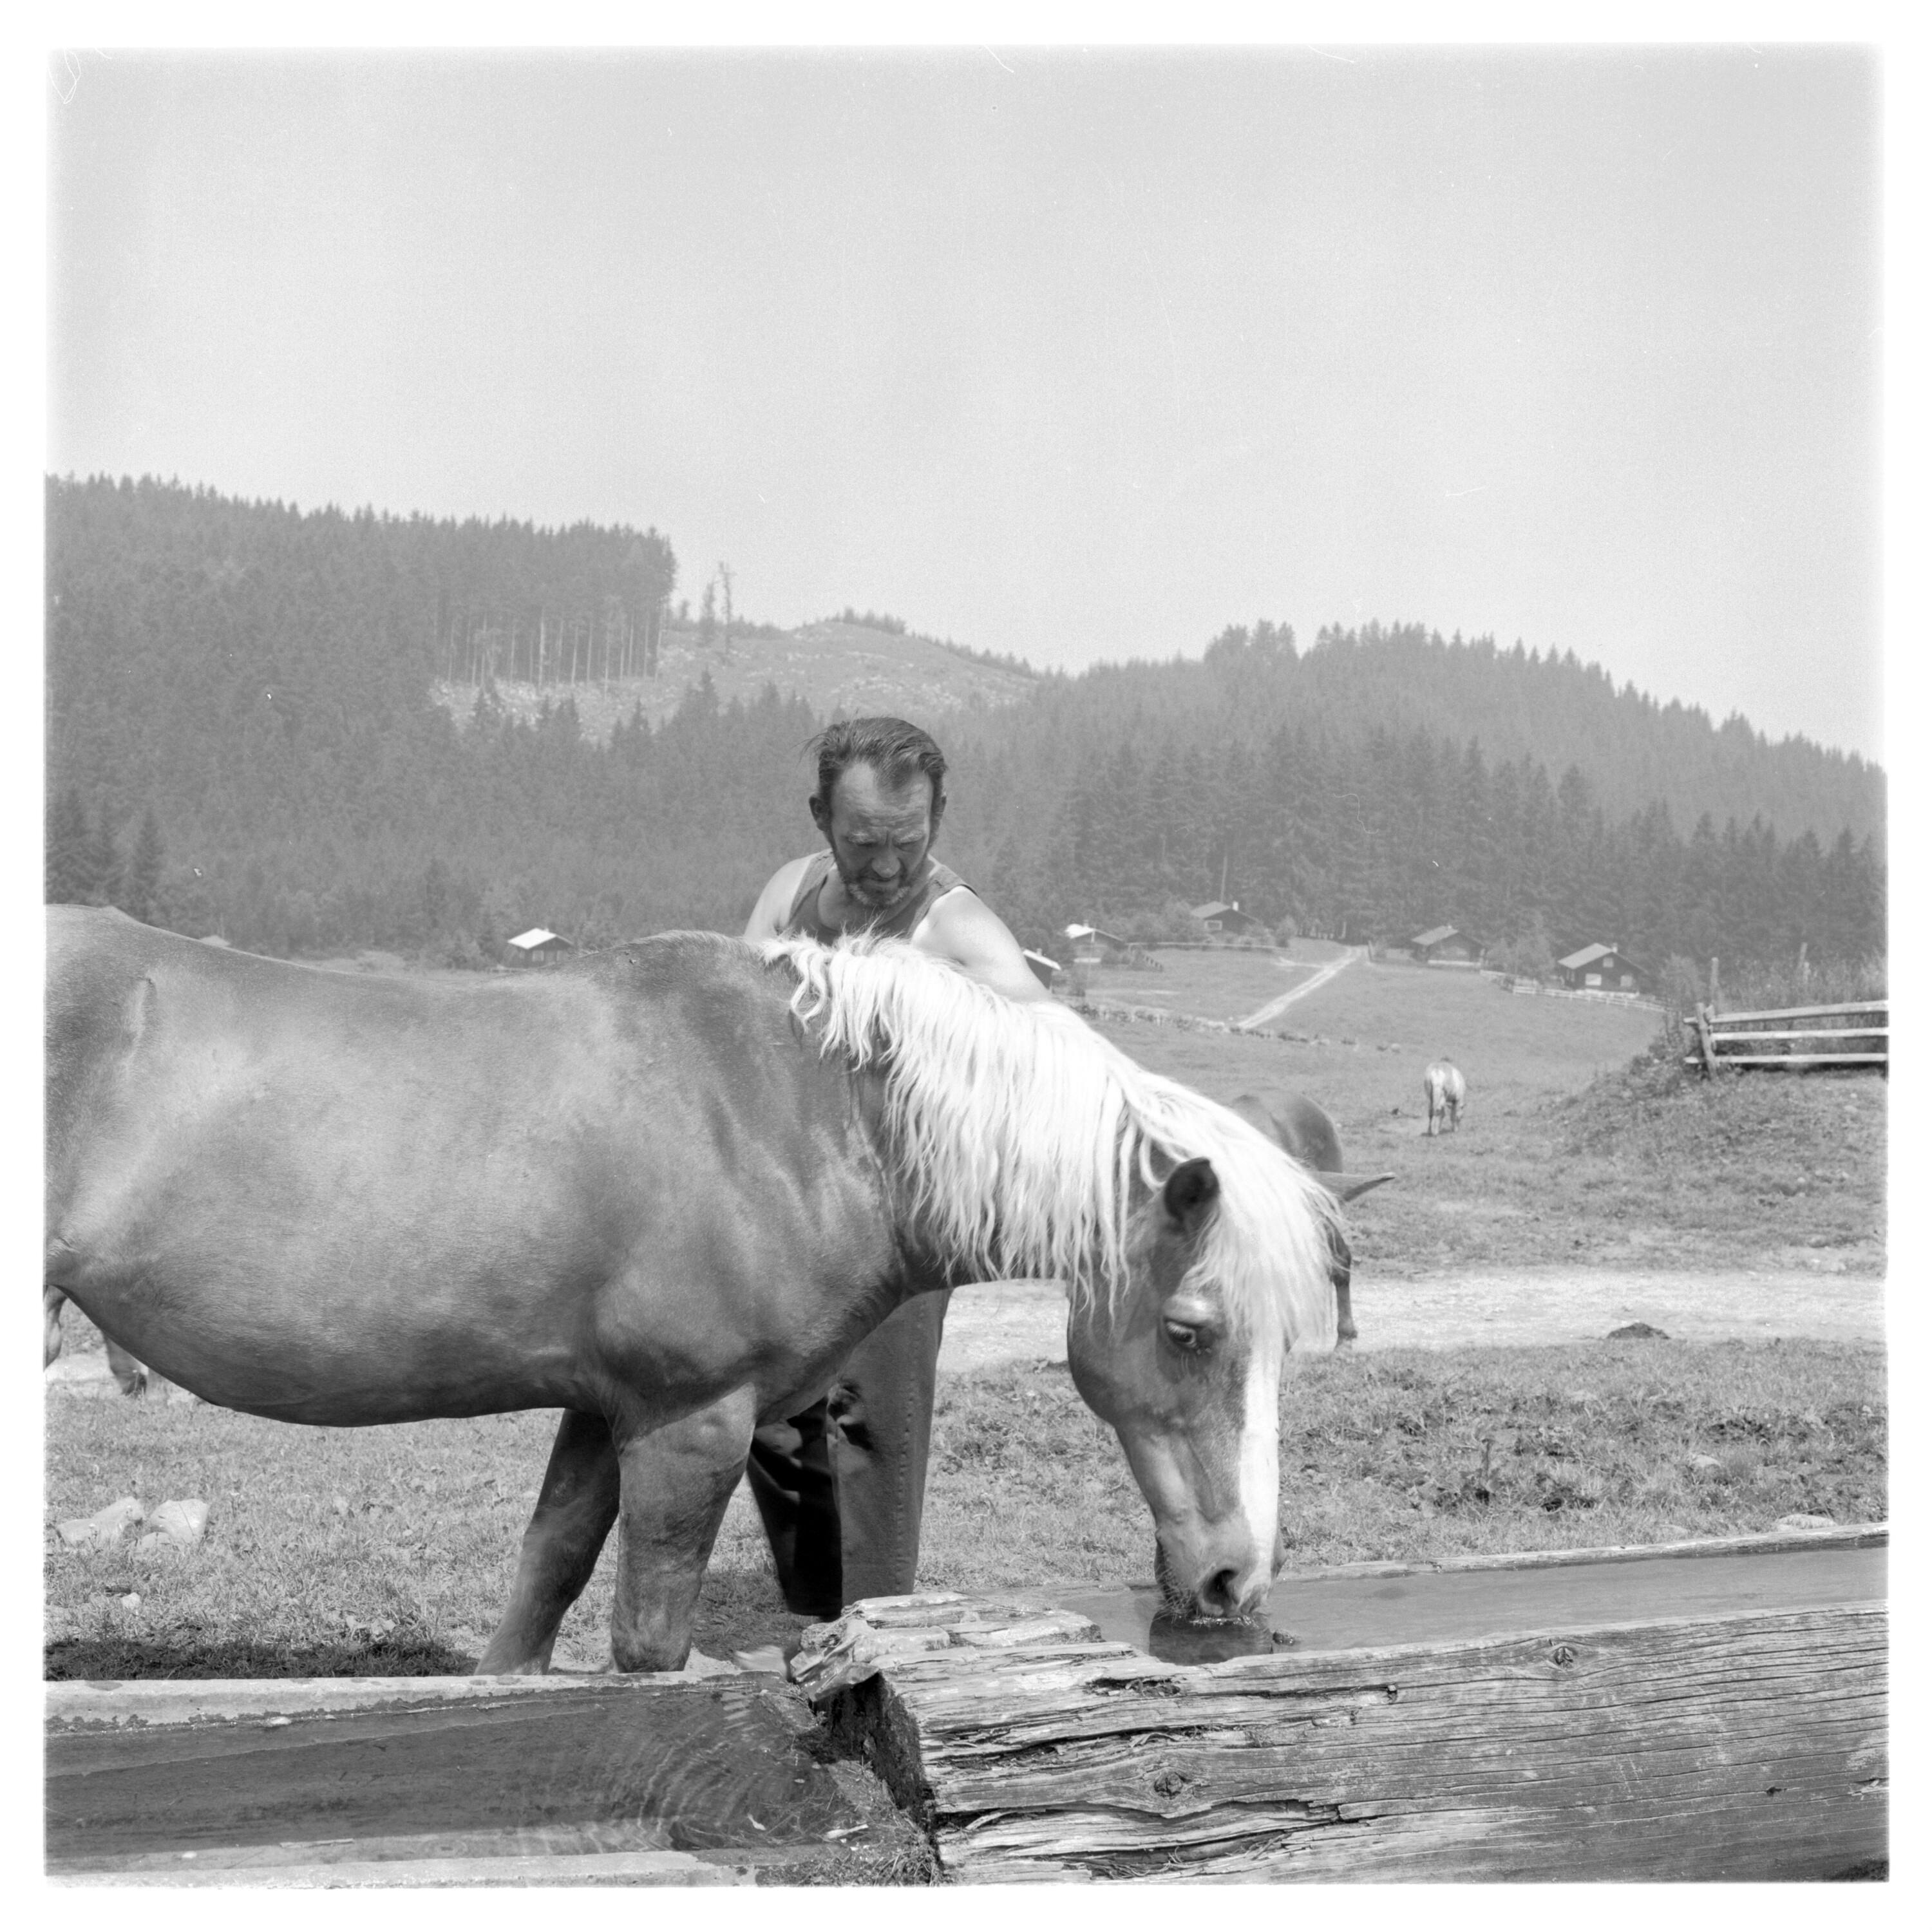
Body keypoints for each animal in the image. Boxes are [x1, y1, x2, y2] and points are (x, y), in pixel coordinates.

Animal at [47, 907, 1341, 1671]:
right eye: (1189, 1331)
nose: (1235, 1575)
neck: (806, 1108)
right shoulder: (691, 1425)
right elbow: (645, 1641)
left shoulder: (603, 1409)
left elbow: (542, 1587)